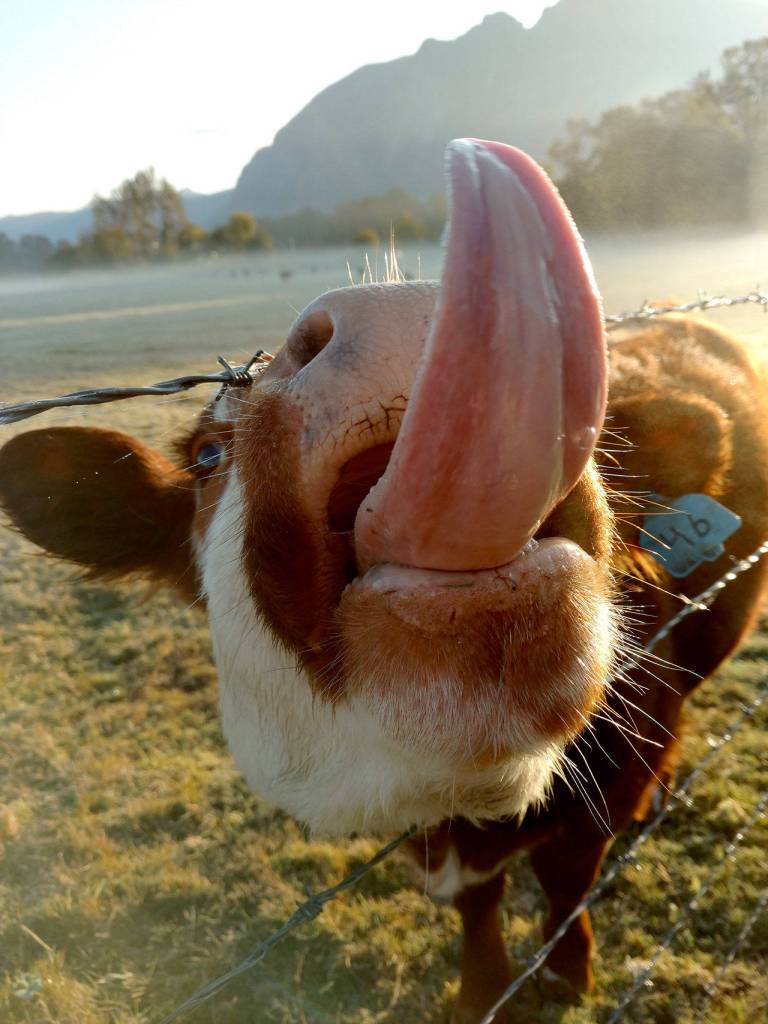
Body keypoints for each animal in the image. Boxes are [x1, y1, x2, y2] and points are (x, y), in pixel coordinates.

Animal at [1, 139, 767, 1024]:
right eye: (204, 456)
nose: (400, 309)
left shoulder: (616, 773)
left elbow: (567, 874)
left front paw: (567, 972)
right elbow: (480, 902)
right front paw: (482, 986)